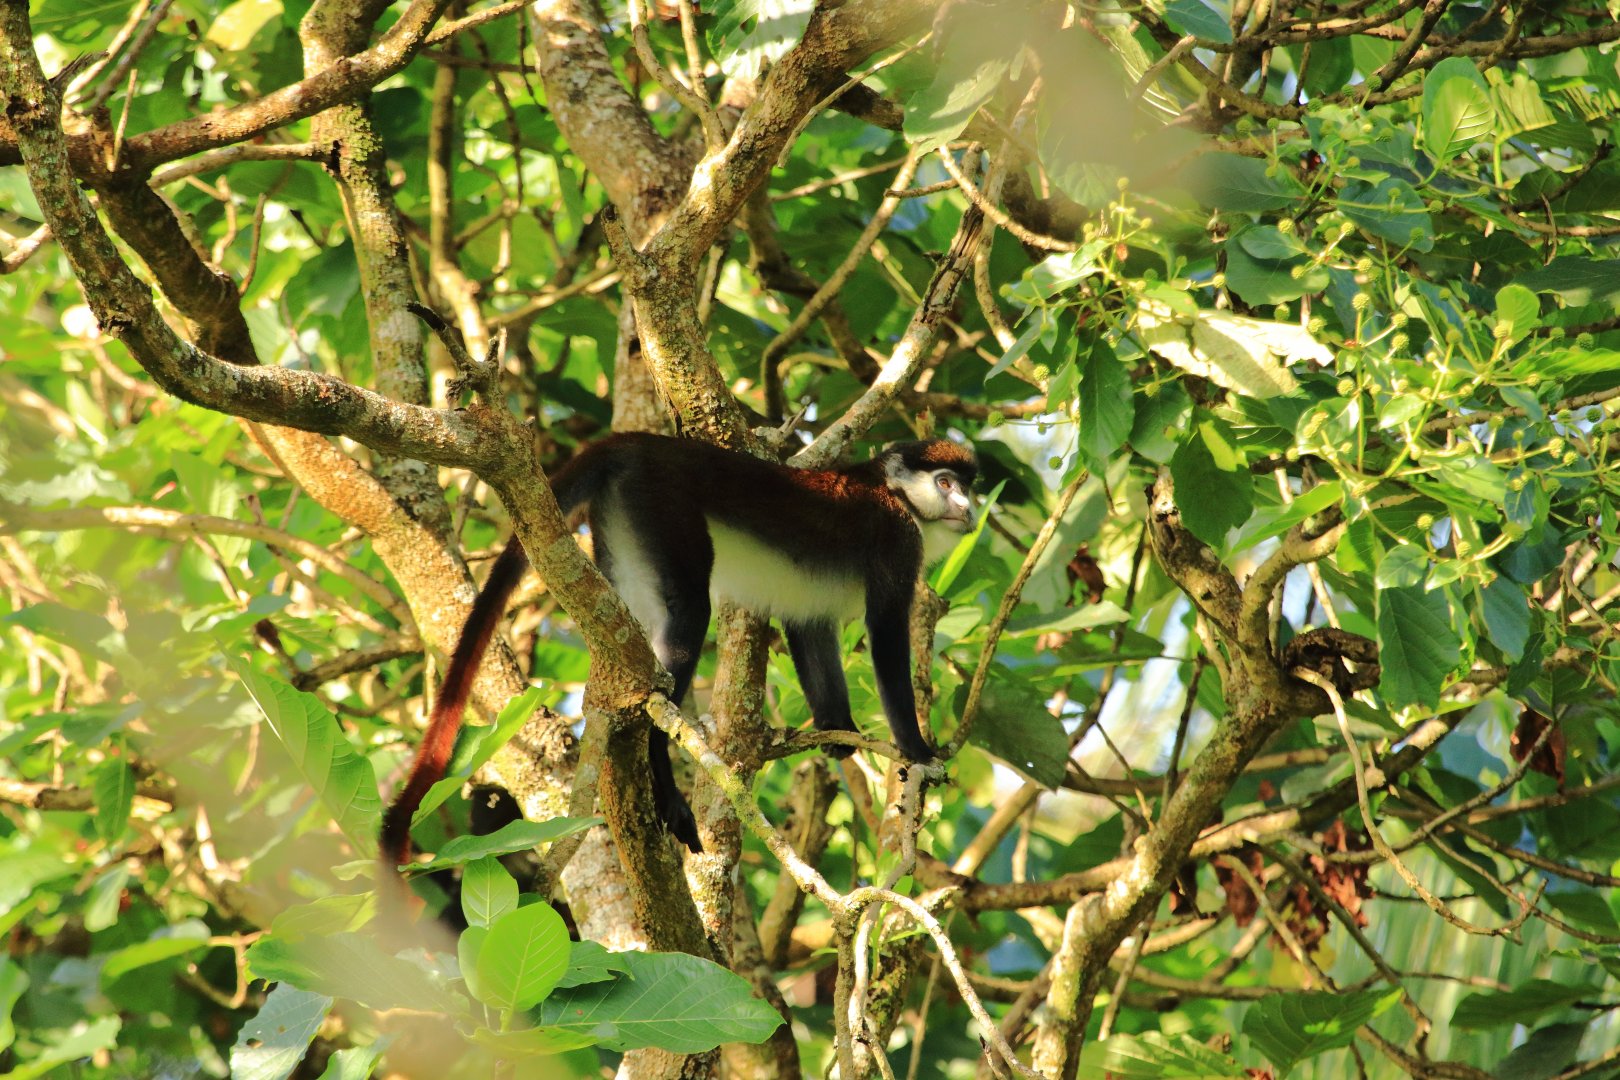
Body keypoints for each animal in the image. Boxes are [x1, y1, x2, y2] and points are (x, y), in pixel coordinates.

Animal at [380, 432, 977, 870]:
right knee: (687, 617)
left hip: (624, 526)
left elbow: (809, 625)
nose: (969, 509)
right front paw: (918, 751)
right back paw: (663, 781)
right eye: (946, 483)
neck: (895, 494)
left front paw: (837, 729)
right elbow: (886, 633)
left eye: (969, 487)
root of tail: (637, 443)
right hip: (661, 505)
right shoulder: (898, 538)